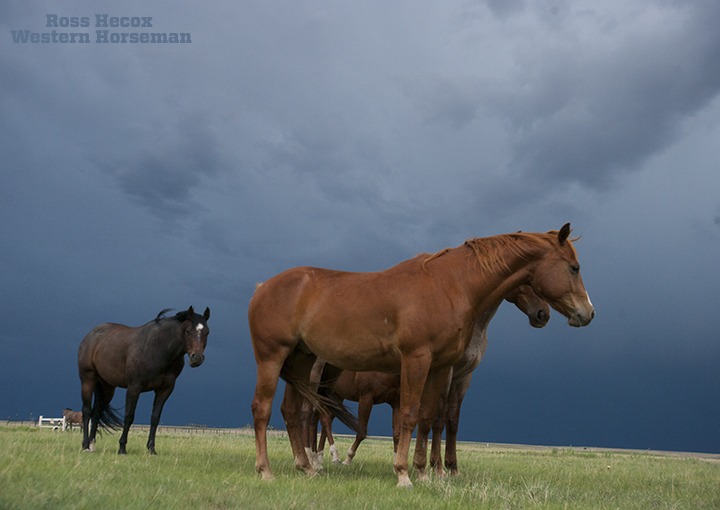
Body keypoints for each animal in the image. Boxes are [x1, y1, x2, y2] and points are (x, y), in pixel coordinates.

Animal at [77, 306, 210, 454]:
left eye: (207, 332)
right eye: (188, 331)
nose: (196, 358)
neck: (159, 349)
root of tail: (90, 336)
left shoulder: (165, 389)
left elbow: (155, 418)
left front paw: (151, 449)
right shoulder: (134, 387)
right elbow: (129, 416)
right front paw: (122, 448)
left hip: (107, 387)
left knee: (97, 412)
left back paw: (92, 445)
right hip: (88, 380)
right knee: (87, 411)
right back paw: (85, 445)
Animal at [309, 284, 550, 473]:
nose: (542, 313)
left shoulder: (460, 379)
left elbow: (445, 422)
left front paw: (443, 467)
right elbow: (434, 419)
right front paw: (436, 466)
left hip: (335, 396)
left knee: (322, 417)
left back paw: (319, 456)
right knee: (322, 418)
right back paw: (328, 457)